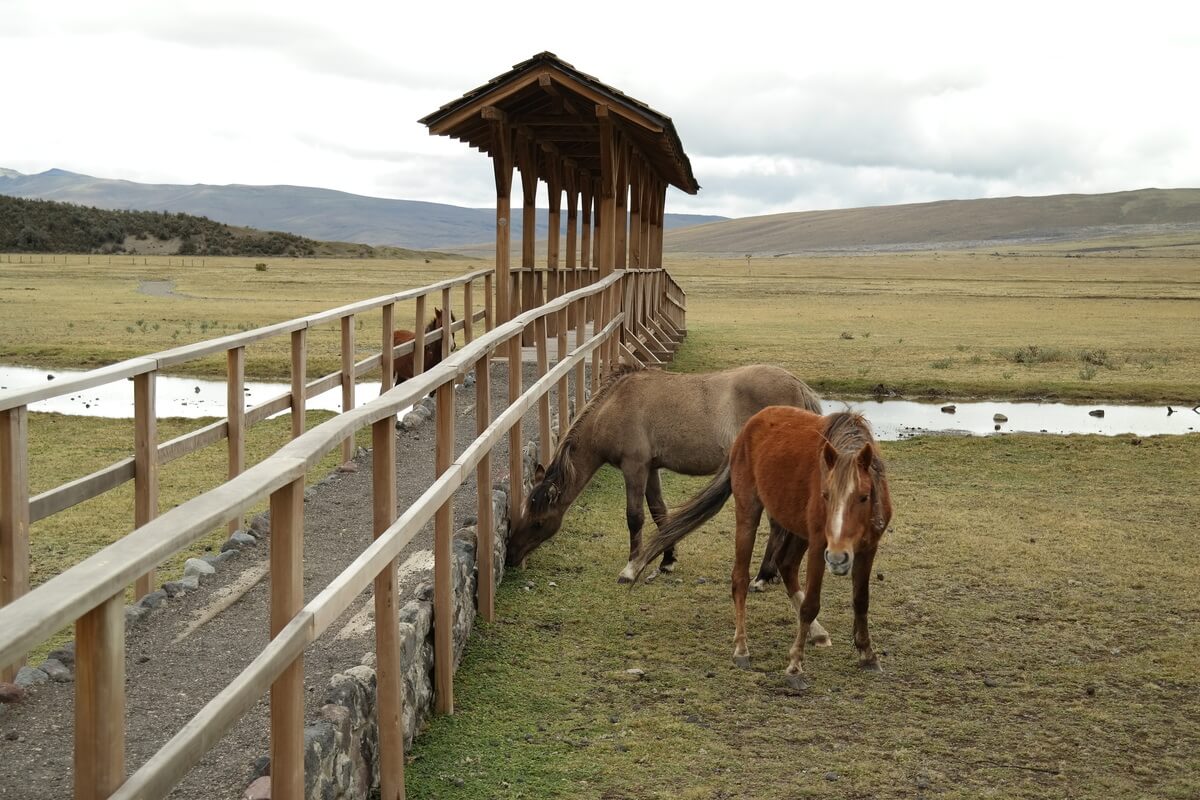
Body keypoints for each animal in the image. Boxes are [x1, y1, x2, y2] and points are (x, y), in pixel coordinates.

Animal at [506, 362, 825, 594]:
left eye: (538, 523)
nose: (510, 557)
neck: (613, 406)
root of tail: (799, 387)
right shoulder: (651, 468)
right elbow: (660, 512)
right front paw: (667, 560)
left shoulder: (634, 467)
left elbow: (635, 517)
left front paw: (632, 565)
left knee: (777, 523)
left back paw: (762, 576)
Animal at [628, 410, 892, 690]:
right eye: (825, 495)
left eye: (864, 496)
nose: (838, 558)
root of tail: (750, 424)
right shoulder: (819, 545)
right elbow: (811, 605)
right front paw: (795, 666)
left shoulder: (868, 549)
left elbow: (861, 601)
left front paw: (868, 654)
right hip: (749, 514)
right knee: (740, 579)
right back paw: (741, 649)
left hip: (796, 528)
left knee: (786, 565)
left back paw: (817, 632)